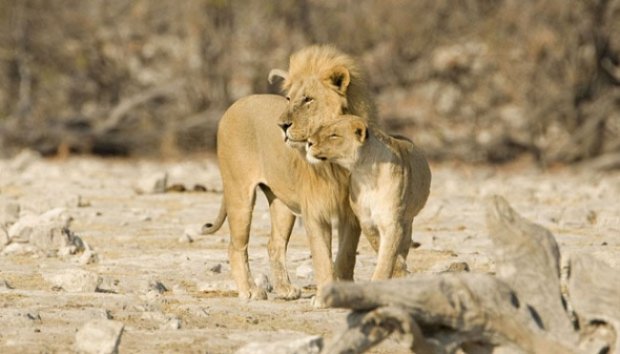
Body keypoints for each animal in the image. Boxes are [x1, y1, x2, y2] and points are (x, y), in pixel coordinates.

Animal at [205, 45, 378, 302]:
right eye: (289, 98)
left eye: (308, 99)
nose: (282, 125)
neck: (334, 161)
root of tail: (234, 105)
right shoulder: (315, 211)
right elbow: (322, 257)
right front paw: (325, 296)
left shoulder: (351, 213)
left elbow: (346, 256)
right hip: (239, 194)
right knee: (236, 246)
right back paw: (250, 291)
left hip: (282, 204)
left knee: (274, 244)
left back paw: (285, 289)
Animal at [306, 115, 432, 280]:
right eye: (322, 128)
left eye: (334, 135)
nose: (308, 142)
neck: (365, 174)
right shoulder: (366, 220)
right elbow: (378, 245)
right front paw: (399, 268)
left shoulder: (392, 221)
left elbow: (387, 256)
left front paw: (390, 274)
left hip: (407, 218)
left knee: (406, 241)